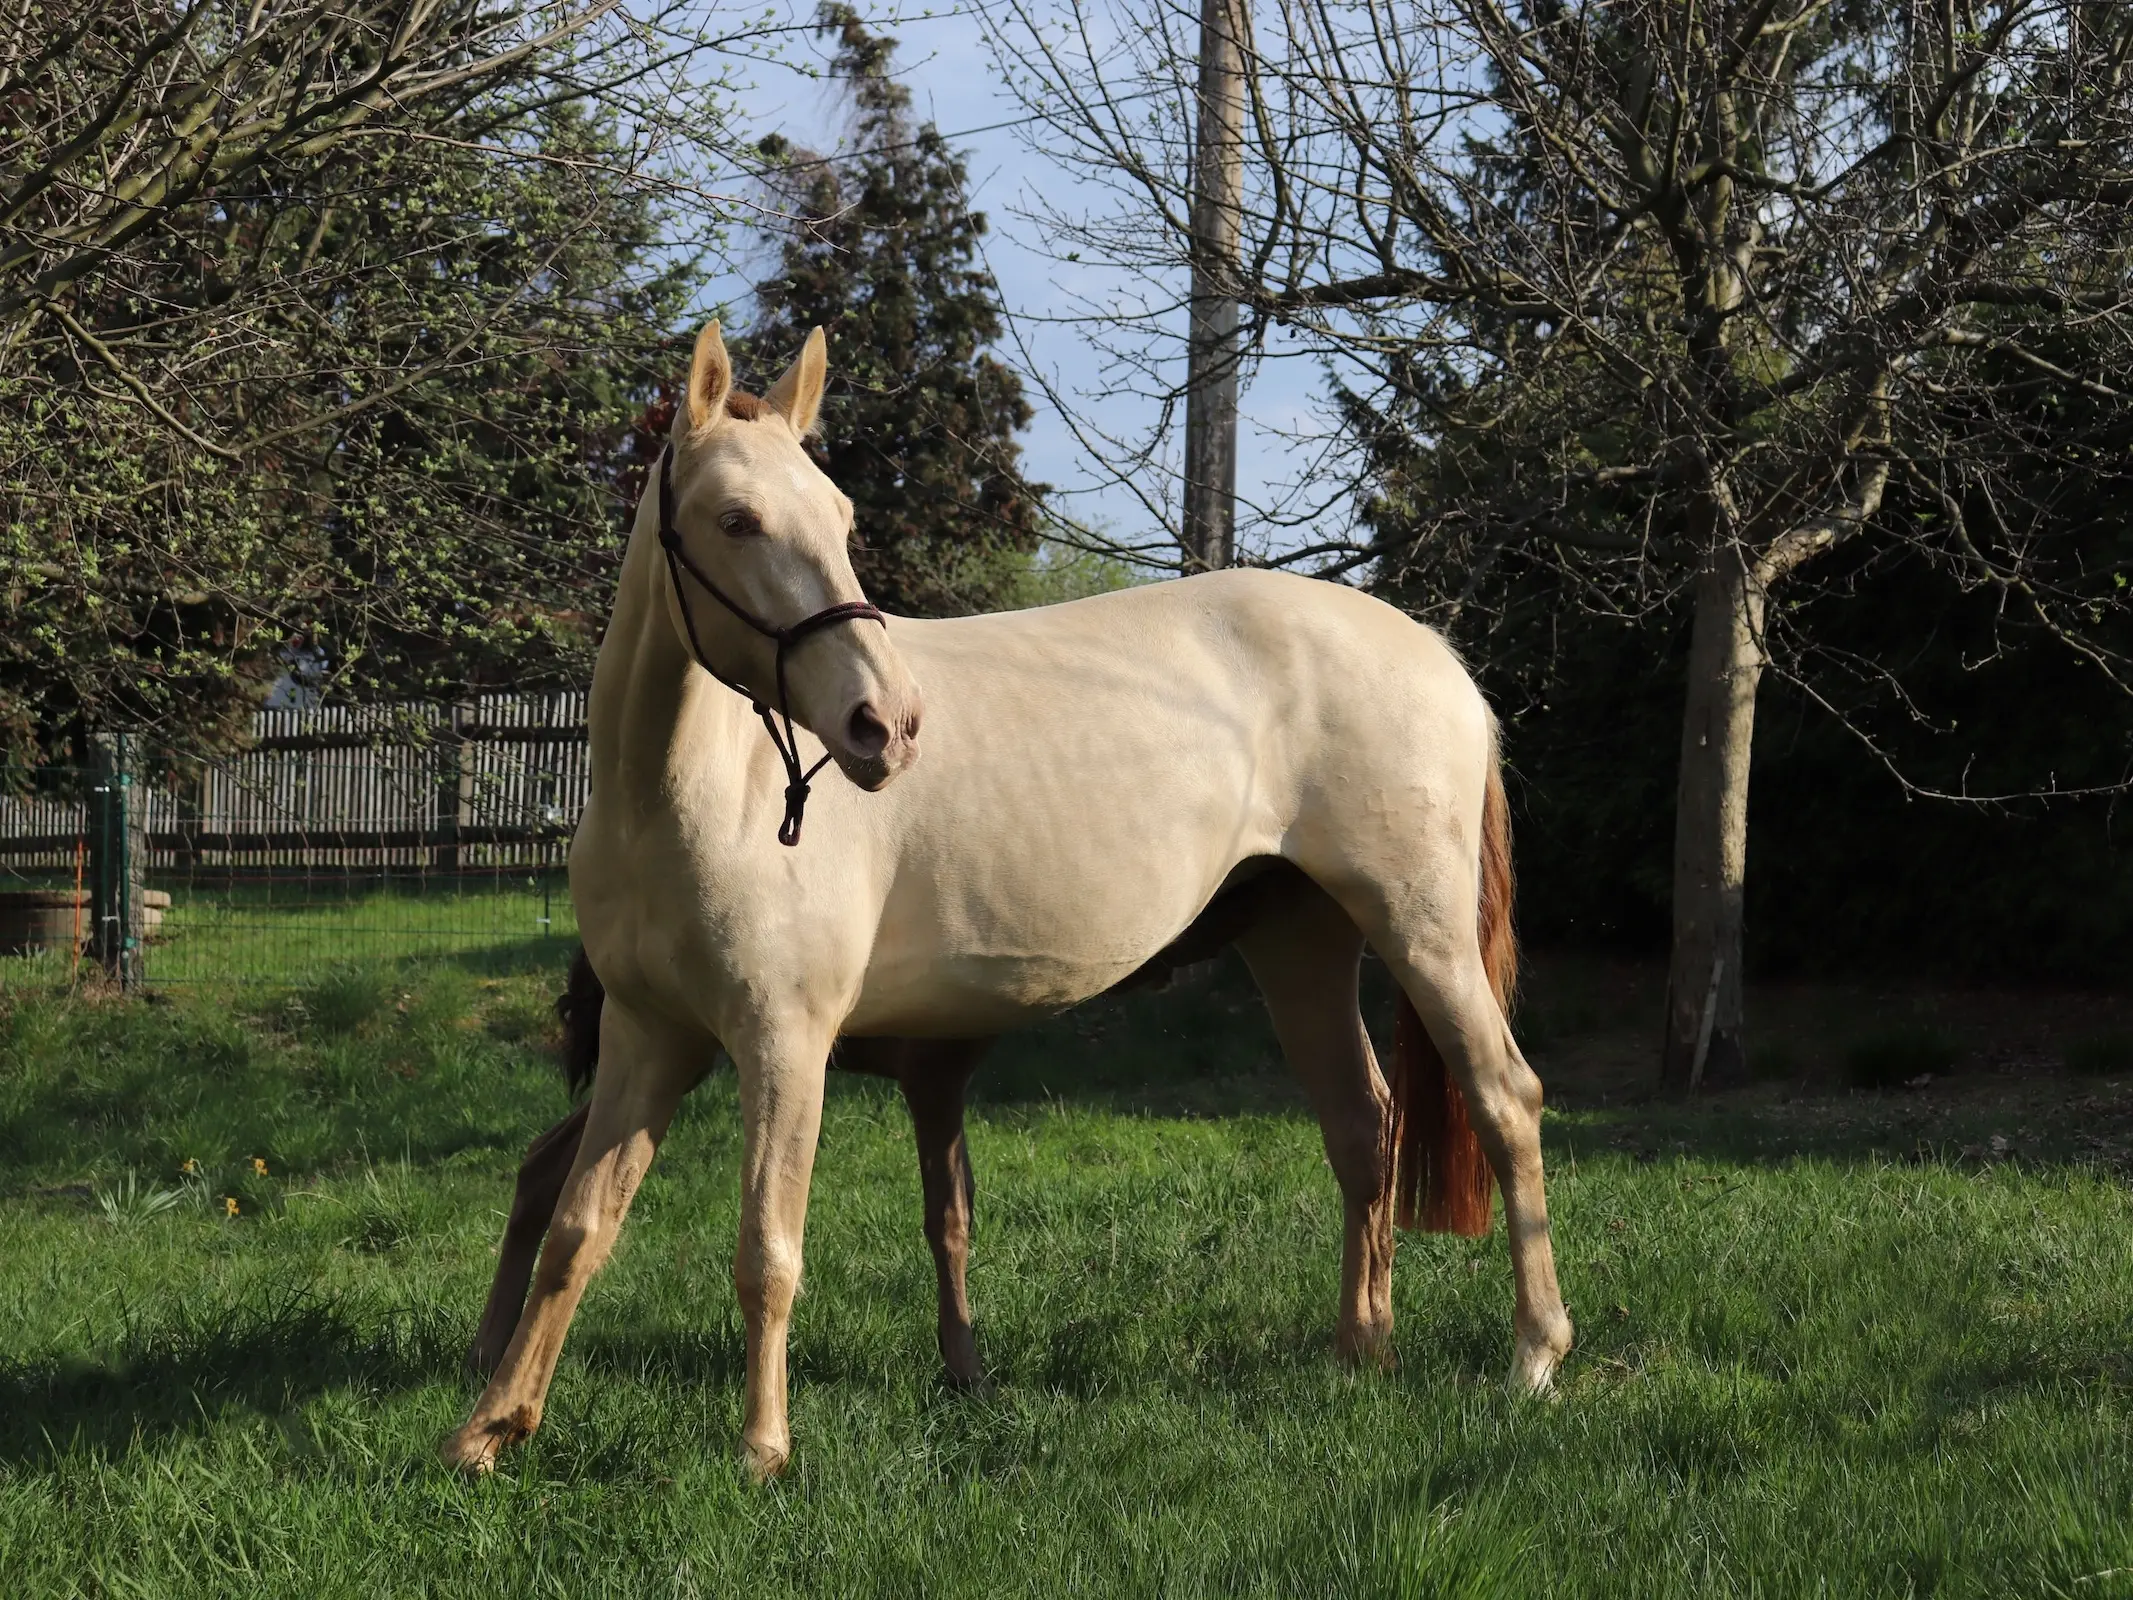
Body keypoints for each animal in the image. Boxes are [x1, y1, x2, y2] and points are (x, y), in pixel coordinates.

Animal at [437, 322, 1569, 1476]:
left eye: (842, 517)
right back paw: (1361, 1348)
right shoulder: (648, 1038)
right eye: (736, 519)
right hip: (1299, 942)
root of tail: (1436, 655)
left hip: (1421, 932)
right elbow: (578, 1226)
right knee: (1359, 1125)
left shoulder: (780, 1044)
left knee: (1503, 1100)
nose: (885, 723)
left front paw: (762, 1449)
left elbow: (767, 1247)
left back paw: (1533, 1355)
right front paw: (490, 1427)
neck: (695, 791)